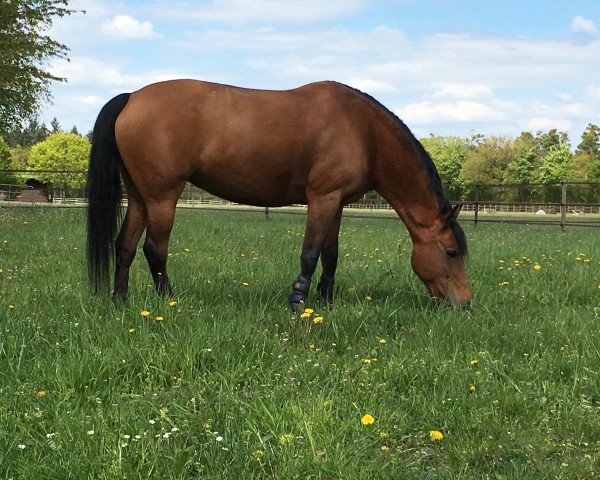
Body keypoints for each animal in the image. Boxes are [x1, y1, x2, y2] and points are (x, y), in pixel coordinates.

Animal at [86, 79, 472, 308]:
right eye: (452, 252)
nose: (465, 303)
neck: (364, 132)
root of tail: (131, 98)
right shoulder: (322, 199)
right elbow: (310, 254)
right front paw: (298, 301)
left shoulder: (337, 203)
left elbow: (331, 255)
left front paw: (325, 300)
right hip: (162, 197)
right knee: (155, 249)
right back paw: (169, 301)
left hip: (140, 196)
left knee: (125, 245)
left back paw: (121, 300)